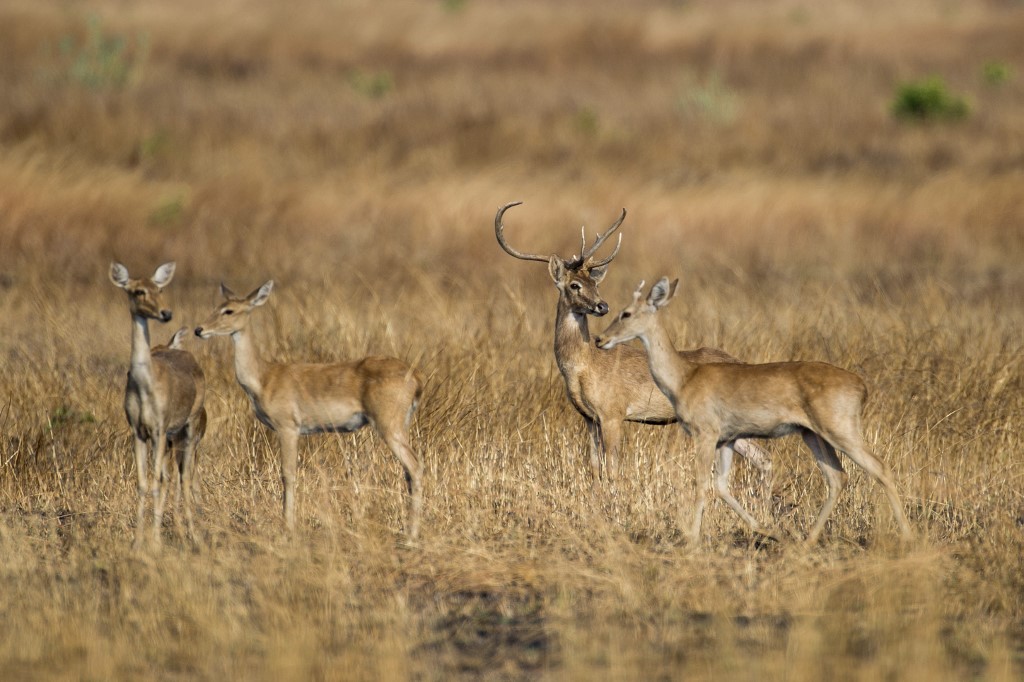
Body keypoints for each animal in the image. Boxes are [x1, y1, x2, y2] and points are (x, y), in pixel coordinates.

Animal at [111, 260, 206, 548]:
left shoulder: (159, 431)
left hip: (188, 430)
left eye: (160, 288)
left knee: (184, 479)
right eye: (138, 291)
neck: (145, 386)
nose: (165, 313)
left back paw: (194, 535)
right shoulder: (139, 433)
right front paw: (138, 541)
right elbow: (144, 483)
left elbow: (157, 482)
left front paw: (154, 542)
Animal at [193, 276, 421, 536]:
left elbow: (288, 474)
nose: (199, 330)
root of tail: (415, 377)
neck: (264, 377)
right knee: (408, 473)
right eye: (217, 306)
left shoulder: (288, 429)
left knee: (415, 467)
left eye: (229, 310)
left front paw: (288, 525)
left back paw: (411, 536)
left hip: (389, 428)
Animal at [493, 199, 770, 491]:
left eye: (595, 283)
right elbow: (594, 467)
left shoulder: (613, 412)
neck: (583, 366)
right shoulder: (589, 418)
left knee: (763, 455)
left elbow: (613, 469)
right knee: (761, 457)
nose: (602, 306)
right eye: (575, 285)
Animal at [598, 276, 917, 540]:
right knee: (837, 478)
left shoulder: (706, 435)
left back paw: (908, 536)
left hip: (840, 433)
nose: (601, 339)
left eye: (626, 312)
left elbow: (701, 484)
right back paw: (807, 540)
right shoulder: (726, 441)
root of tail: (861, 385)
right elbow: (721, 486)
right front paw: (768, 530)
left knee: (879, 468)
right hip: (813, 436)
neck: (686, 376)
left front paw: (692, 539)